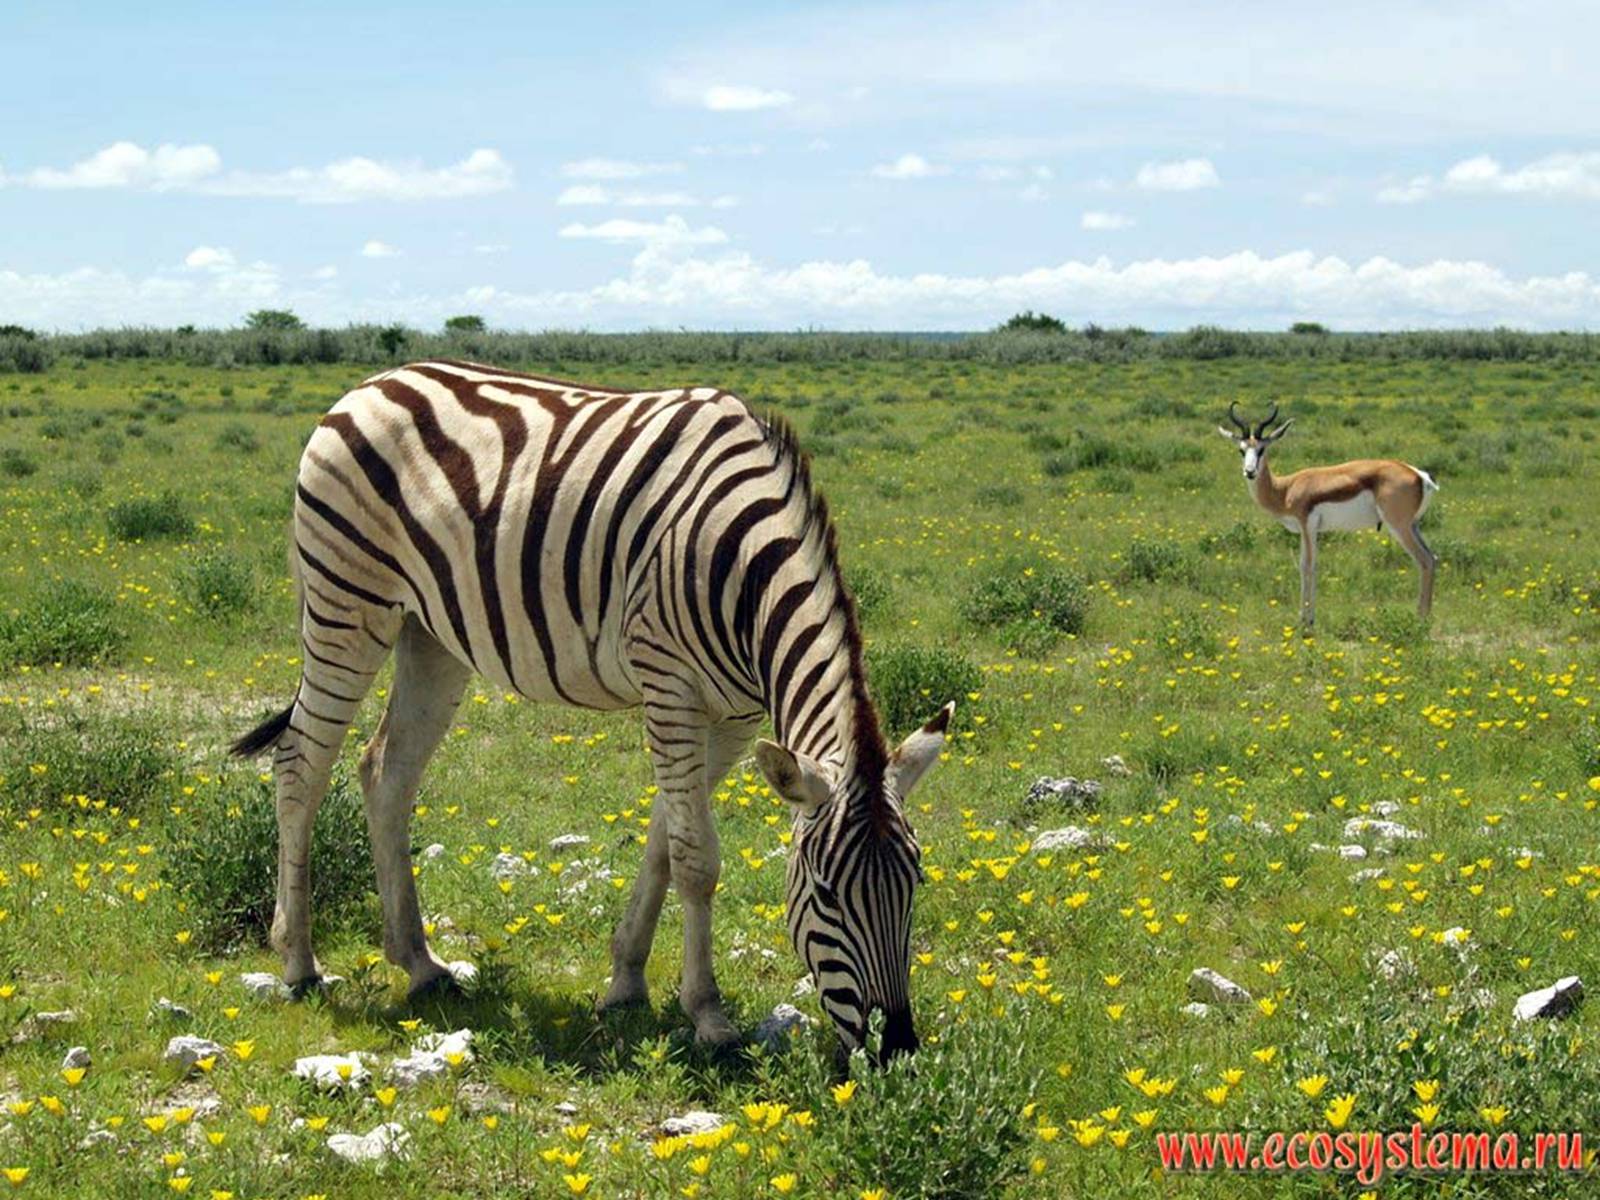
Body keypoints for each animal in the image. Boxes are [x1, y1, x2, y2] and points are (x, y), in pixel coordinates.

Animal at [228, 361, 947, 1056]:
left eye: (916, 881)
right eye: (825, 892)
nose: (896, 1048)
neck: (742, 569)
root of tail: (370, 384)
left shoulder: (734, 718)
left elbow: (663, 844)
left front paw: (626, 981)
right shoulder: (670, 685)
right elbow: (696, 860)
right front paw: (708, 1015)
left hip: (429, 633)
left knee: (386, 773)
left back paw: (422, 965)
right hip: (347, 602)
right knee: (300, 765)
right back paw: (299, 962)